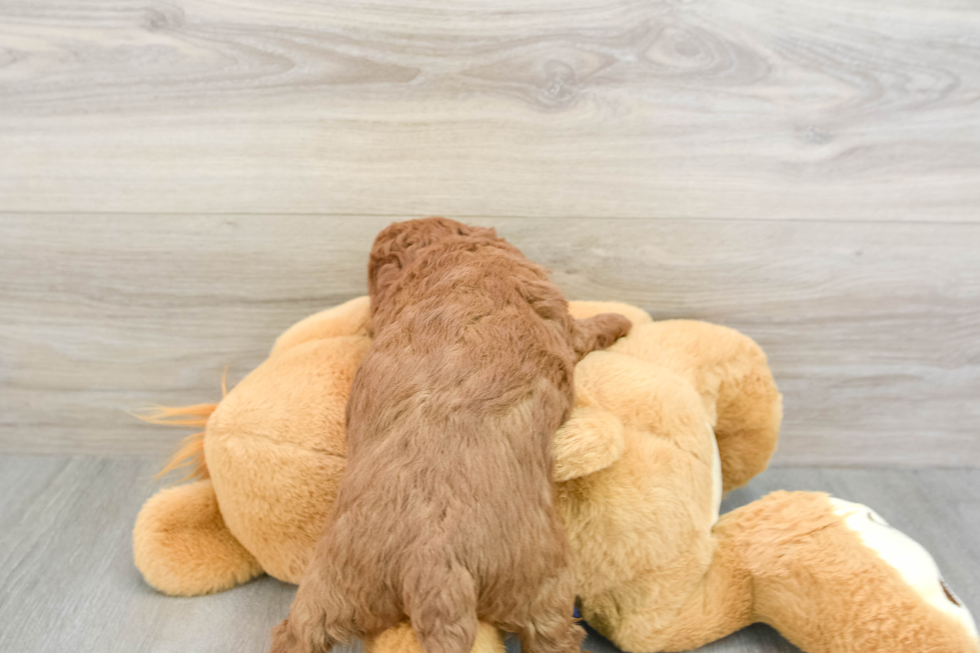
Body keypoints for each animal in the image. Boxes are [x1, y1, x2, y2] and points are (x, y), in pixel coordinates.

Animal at [270, 218, 636, 652]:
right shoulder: (562, 321)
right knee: (552, 633)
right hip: (541, 589)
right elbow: (589, 328)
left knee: (298, 633)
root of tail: (431, 568)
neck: (448, 256)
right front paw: (620, 321)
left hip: (331, 591)